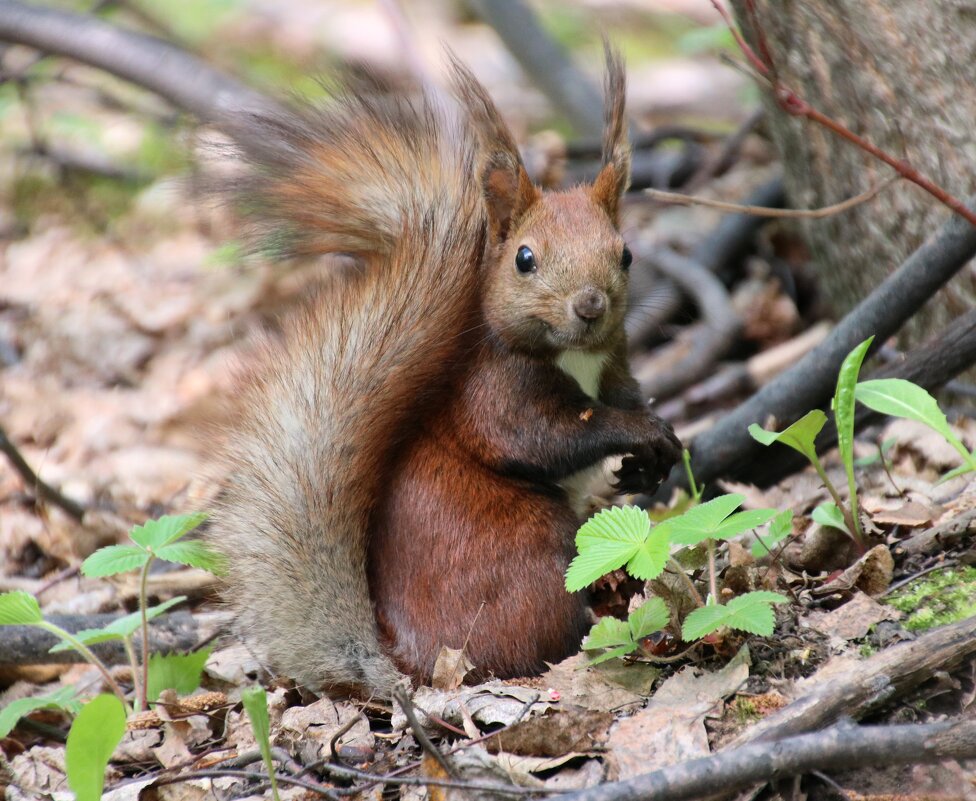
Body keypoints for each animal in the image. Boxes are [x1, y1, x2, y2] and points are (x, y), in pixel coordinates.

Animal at [212, 53, 688, 696]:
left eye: (626, 254)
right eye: (525, 258)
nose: (590, 306)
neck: (573, 357)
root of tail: (410, 666)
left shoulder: (616, 369)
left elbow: (626, 402)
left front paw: (651, 458)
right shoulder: (495, 396)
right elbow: (547, 436)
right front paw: (640, 435)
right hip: (525, 550)